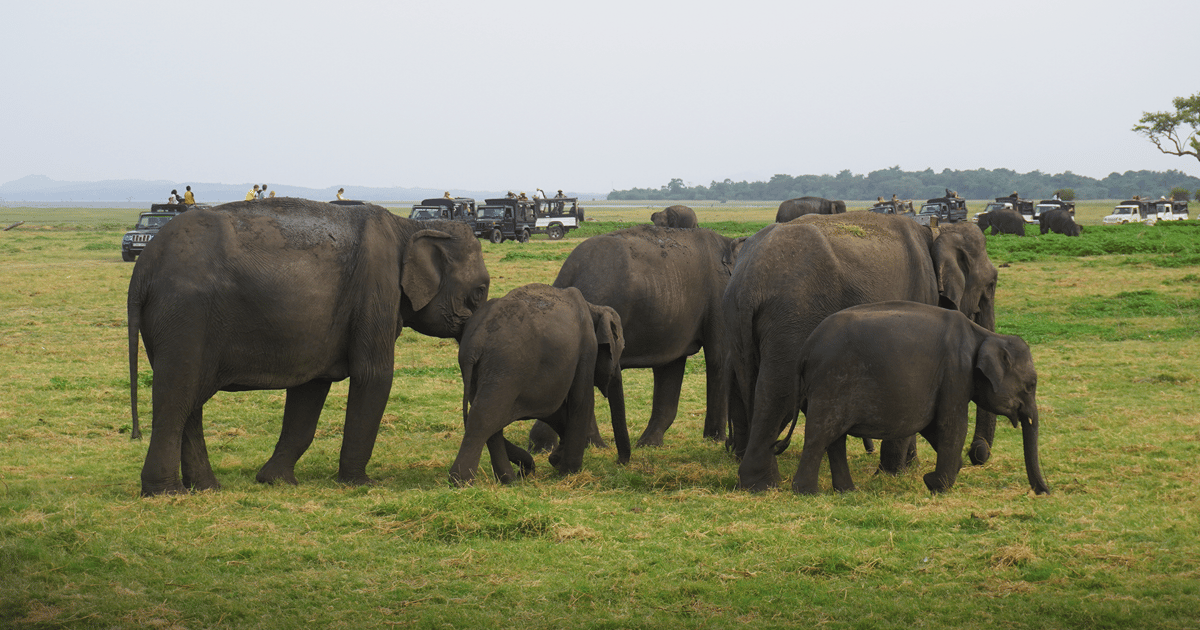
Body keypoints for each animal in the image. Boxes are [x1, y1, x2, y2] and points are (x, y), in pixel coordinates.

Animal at [127, 198, 492, 496]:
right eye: (479, 291)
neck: (409, 226)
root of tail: (143, 267)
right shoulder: (376, 291)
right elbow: (374, 377)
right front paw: (361, 484)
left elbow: (310, 388)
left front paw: (275, 481)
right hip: (186, 314)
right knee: (176, 395)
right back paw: (166, 493)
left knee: (190, 401)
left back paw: (206, 488)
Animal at [451, 282, 633, 484]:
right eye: (622, 347)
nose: (620, 463)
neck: (593, 307)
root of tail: (476, 341)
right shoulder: (587, 348)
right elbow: (580, 401)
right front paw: (568, 472)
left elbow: (555, 410)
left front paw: (556, 460)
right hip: (506, 366)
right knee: (485, 416)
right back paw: (461, 480)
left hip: (481, 370)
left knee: (489, 418)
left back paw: (510, 480)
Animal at [532, 223, 744, 448]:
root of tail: (567, 275)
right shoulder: (719, 298)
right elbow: (718, 359)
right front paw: (716, 440)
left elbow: (670, 366)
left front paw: (648, 444)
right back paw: (584, 445)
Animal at [724, 212, 998, 492]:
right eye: (991, 283)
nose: (978, 453)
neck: (937, 229)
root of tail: (748, 282)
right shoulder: (922, 292)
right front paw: (893, 473)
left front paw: (909, 464)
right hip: (792, 320)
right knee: (779, 393)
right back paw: (763, 484)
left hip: (737, 324)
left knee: (751, 388)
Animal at [787, 301, 1051, 496]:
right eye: (1030, 385)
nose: (1043, 492)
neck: (985, 335)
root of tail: (805, 350)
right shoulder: (956, 372)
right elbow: (951, 425)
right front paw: (935, 484)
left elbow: (932, 426)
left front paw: (938, 478)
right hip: (831, 382)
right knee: (821, 434)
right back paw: (807, 492)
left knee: (835, 438)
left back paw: (847, 491)